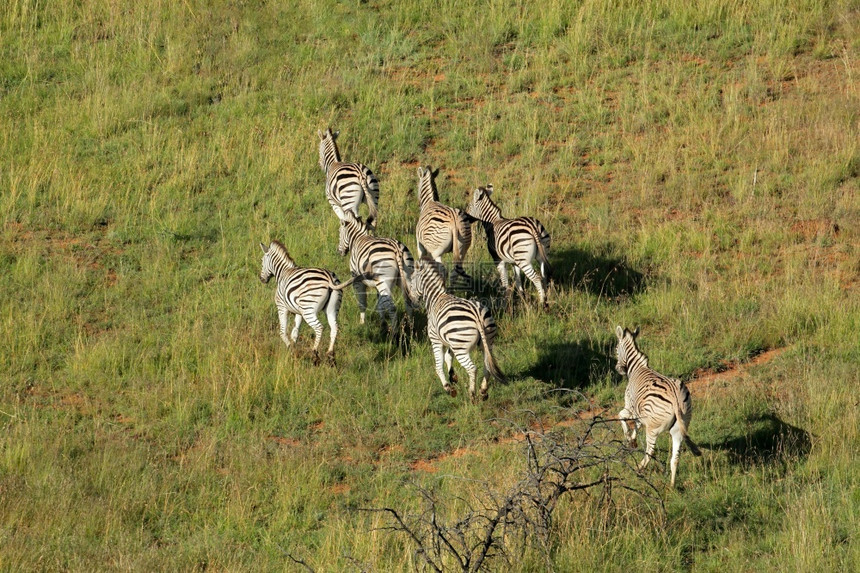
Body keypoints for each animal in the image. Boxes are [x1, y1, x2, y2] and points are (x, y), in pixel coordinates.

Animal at [410, 260, 504, 402]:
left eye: (411, 280)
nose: (412, 300)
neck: (435, 298)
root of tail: (476, 314)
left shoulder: (436, 340)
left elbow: (438, 365)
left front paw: (449, 388)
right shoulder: (450, 341)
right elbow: (448, 357)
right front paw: (453, 377)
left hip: (461, 348)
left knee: (472, 369)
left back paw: (472, 395)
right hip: (486, 342)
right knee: (487, 365)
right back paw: (483, 391)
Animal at [612, 326, 700, 488]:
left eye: (616, 349)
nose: (618, 369)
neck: (637, 368)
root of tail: (675, 397)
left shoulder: (631, 407)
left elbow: (621, 416)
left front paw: (628, 438)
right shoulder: (641, 413)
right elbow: (637, 425)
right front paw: (633, 440)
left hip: (653, 429)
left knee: (650, 451)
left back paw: (639, 469)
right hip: (679, 428)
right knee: (675, 458)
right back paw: (672, 486)